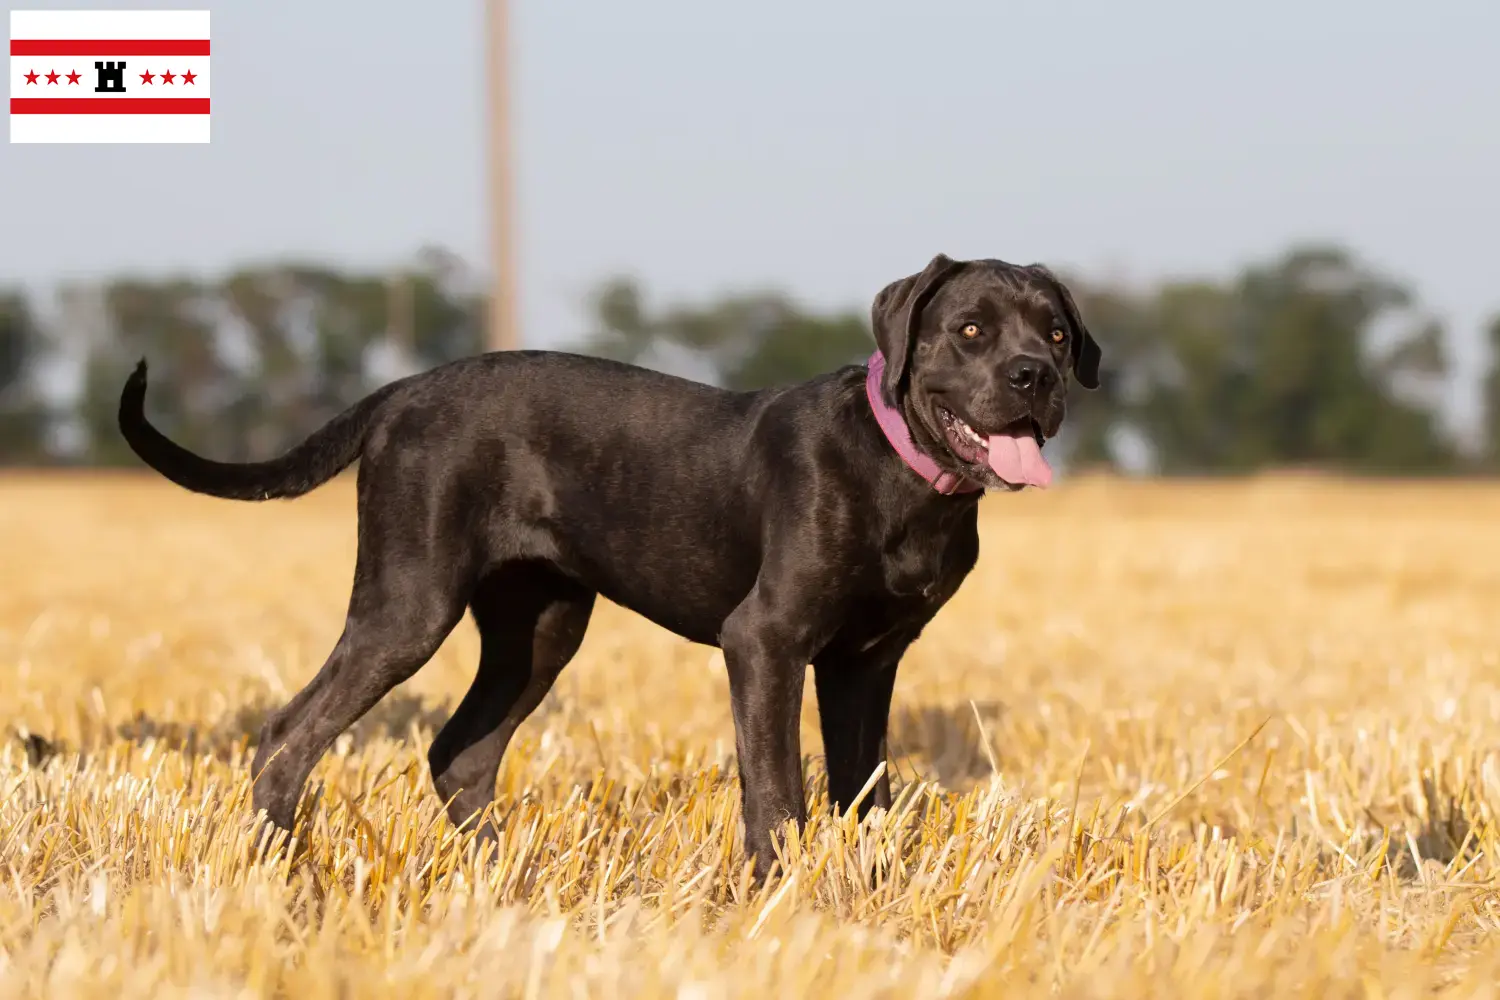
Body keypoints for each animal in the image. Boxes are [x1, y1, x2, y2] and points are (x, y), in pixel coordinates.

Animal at [117, 254, 1098, 881]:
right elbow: (777, 791)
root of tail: (401, 391)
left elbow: (868, 796)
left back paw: (504, 884)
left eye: (1055, 332)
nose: (1033, 376)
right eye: (968, 329)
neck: (904, 470)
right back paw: (278, 875)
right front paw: (780, 902)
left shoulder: (866, 663)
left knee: (461, 752)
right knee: (292, 733)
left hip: (540, 626)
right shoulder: (766, 641)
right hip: (408, 603)